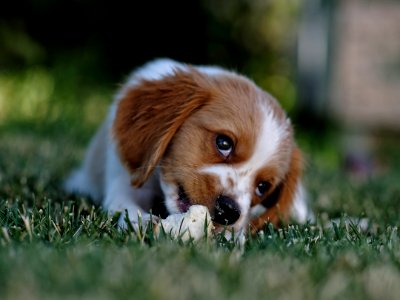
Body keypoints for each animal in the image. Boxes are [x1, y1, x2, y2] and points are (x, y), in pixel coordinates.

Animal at [65, 58, 312, 237]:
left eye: (262, 187)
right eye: (223, 143)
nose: (229, 211)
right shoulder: (123, 181)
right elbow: (125, 206)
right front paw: (144, 222)